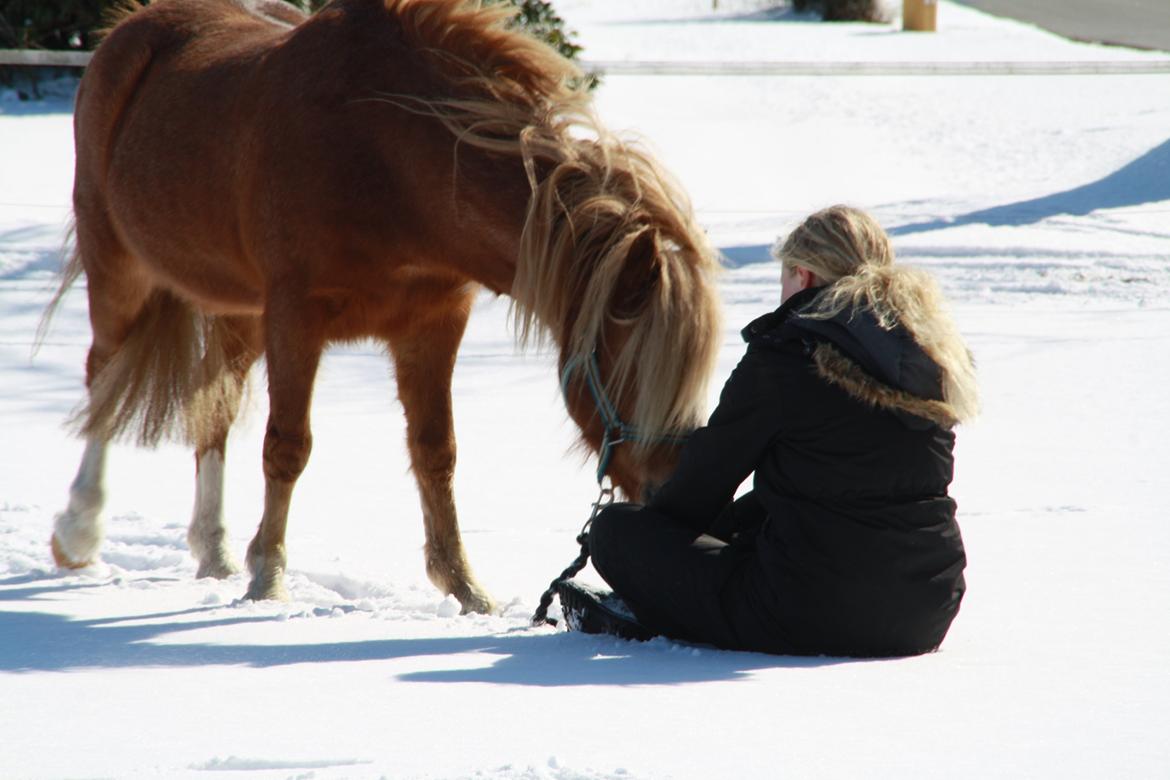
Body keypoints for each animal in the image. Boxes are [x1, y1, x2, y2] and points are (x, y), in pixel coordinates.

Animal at [44, 0, 722, 614]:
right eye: (623, 362)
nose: (668, 487)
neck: (388, 160)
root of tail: (130, 29)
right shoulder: (295, 316)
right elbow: (287, 447)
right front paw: (269, 582)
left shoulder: (433, 322)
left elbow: (436, 451)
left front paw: (466, 589)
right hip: (118, 270)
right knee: (104, 380)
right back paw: (79, 531)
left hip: (235, 312)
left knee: (213, 410)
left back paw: (213, 553)